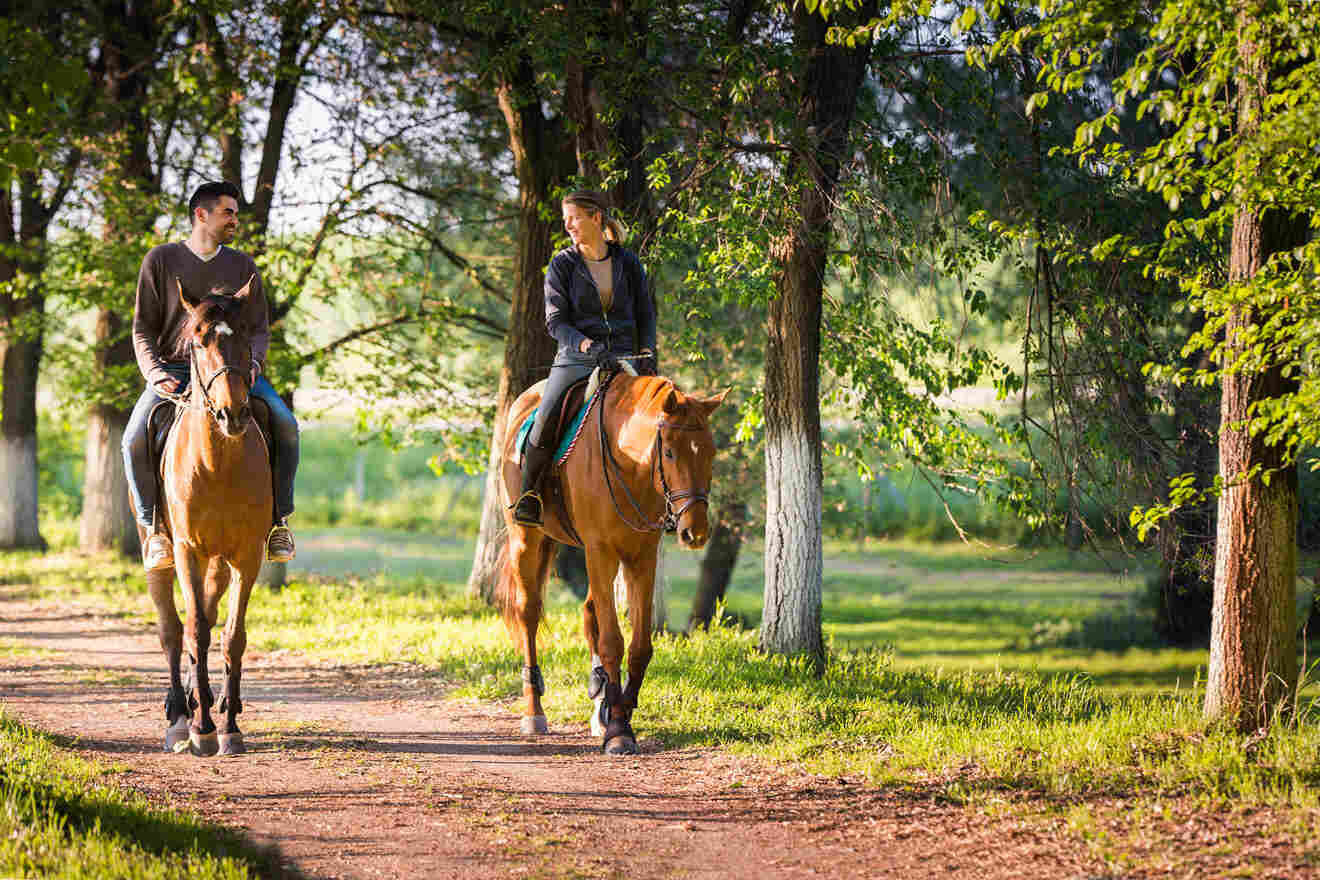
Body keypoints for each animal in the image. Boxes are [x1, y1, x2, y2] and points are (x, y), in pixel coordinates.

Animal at [141, 281, 273, 759]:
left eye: (245, 337)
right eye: (198, 342)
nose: (233, 414)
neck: (217, 464)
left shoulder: (247, 557)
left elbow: (232, 635)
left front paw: (230, 725)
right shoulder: (187, 552)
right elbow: (194, 630)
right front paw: (202, 729)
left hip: (219, 562)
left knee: (212, 617)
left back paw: (205, 700)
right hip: (161, 554)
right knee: (172, 629)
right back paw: (179, 715)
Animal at [496, 374, 728, 754]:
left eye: (710, 452)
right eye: (669, 452)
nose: (694, 532)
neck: (629, 462)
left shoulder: (641, 556)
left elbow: (639, 646)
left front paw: (621, 710)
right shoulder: (600, 550)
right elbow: (612, 642)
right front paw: (618, 729)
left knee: (589, 612)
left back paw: (599, 705)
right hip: (527, 540)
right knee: (528, 613)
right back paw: (535, 713)